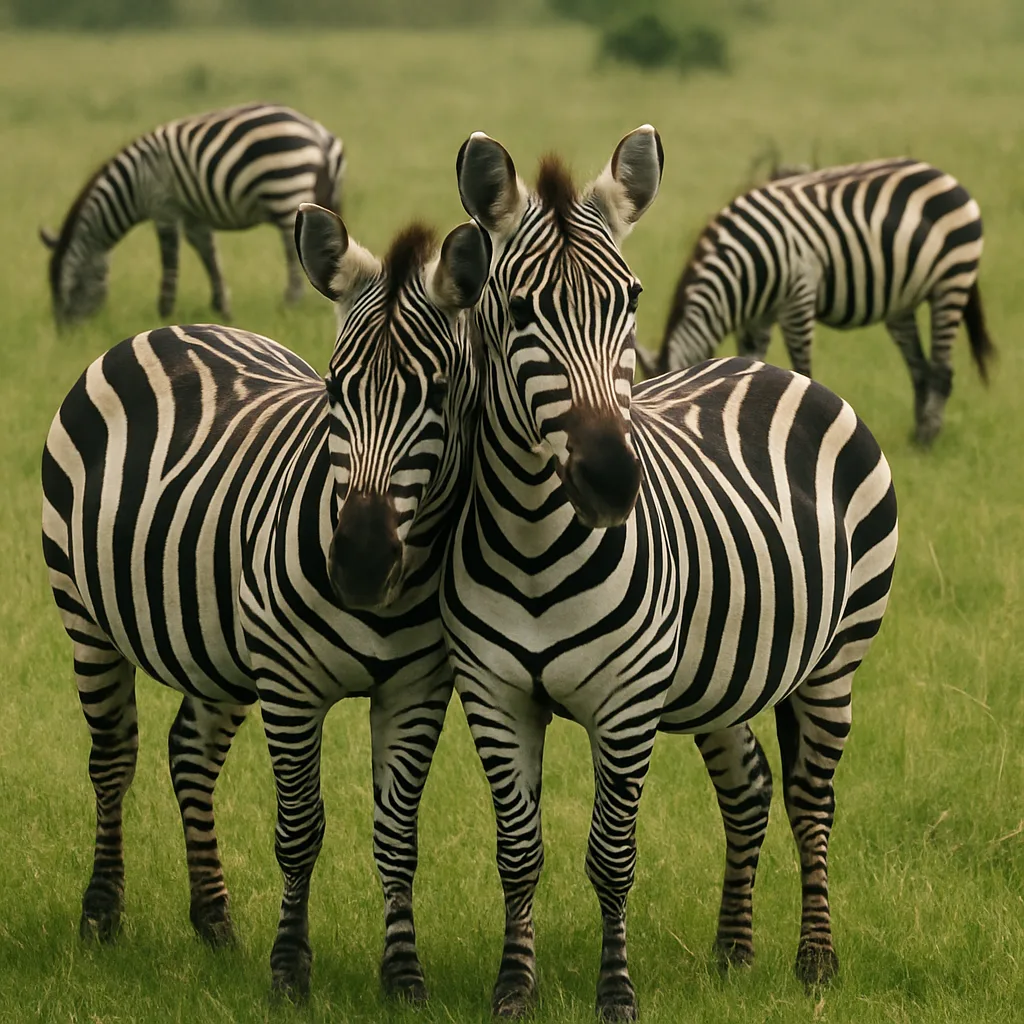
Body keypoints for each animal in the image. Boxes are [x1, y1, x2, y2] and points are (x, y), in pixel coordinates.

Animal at [39, 102, 346, 326]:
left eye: (70, 289)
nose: (65, 334)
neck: (135, 183)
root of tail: (317, 133)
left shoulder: (164, 209)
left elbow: (170, 261)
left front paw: (164, 313)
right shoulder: (193, 217)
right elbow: (209, 256)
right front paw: (223, 309)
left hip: (286, 189)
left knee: (292, 255)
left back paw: (290, 305)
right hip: (321, 197)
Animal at [41, 203, 490, 1000]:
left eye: (437, 396)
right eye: (336, 390)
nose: (360, 564)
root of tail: (172, 329)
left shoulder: (417, 688)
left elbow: (398, 835)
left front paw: (403, 974)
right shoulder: (289, 686)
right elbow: (300, 830)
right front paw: (289, 971)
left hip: (216, 648)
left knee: (187, 753)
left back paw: (214, 920)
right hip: (85, 619)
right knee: (113, 759)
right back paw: (100, 915)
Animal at [440, 127, 898, 1020]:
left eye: (630, 297)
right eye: (519, 312)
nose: (614, 480)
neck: (536, 542)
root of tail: (768, 367)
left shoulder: (626, 704)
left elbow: (612, 856)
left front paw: (616, 995)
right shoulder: (494, 694)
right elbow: (518, 850)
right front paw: (513, 989)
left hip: (837, 658)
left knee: (811, 798)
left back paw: (816, 960)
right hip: (723, 675)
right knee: (750, 787)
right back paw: (732, 952)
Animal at [636, 158, 993, 445]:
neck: (742, 270)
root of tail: (943, 175)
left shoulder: (798, 297)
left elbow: (801, 366)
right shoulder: (757, 318)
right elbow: (750, 363)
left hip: (953, 280)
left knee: (942, 368)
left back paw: (929, 437)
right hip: (902, 302)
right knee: (919, 366)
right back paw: (918, 433)